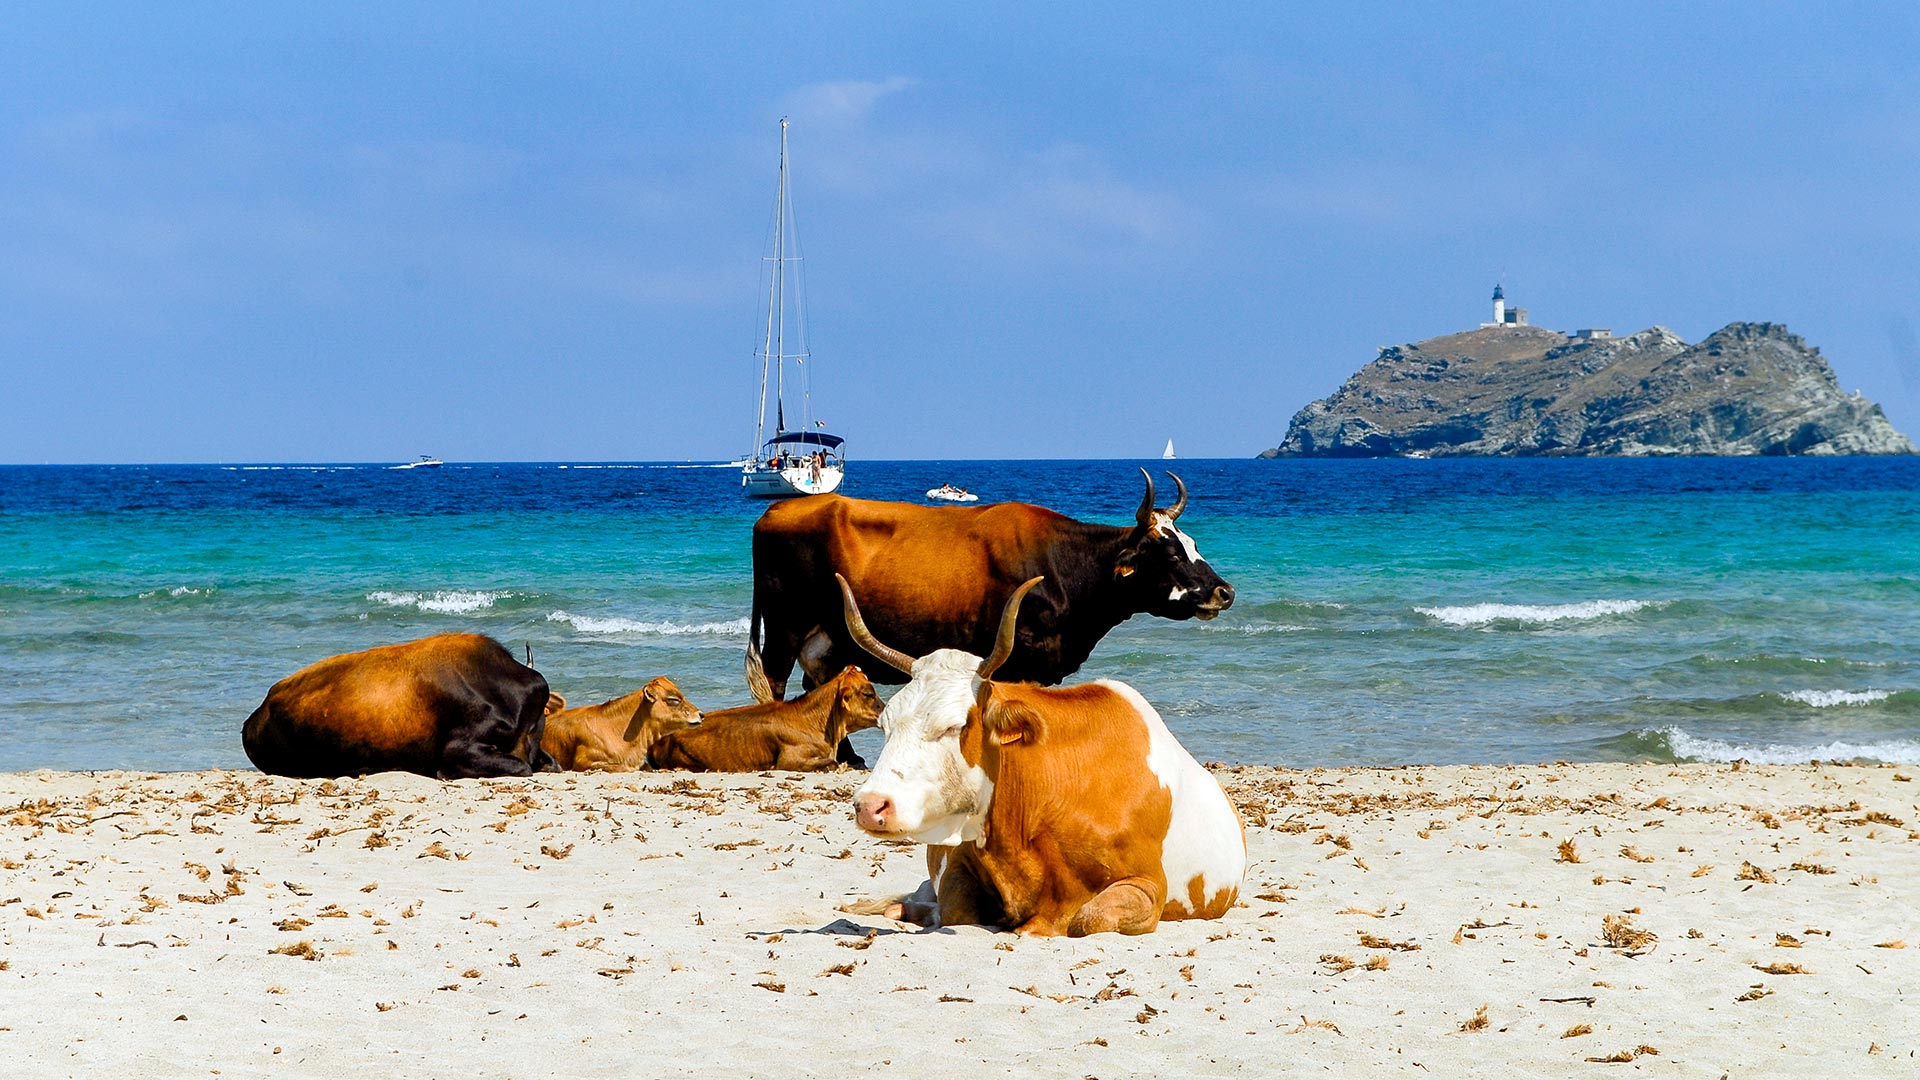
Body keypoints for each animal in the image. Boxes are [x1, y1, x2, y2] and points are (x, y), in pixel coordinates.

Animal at [733, 468, 1228, 703]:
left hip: (822, 641)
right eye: (1170, 553)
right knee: (775, 686)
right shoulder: (1017, 661)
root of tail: (777, 510)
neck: (1061, 564)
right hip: (783, 630)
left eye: (1192, 543)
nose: (1225, 591)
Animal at [840, 572, 1244, 933]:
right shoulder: (959, 864)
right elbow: (956, 911)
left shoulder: (1148, 885)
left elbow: (1087, 918)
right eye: (886, 724)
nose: (870, 805)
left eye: (955, 726)